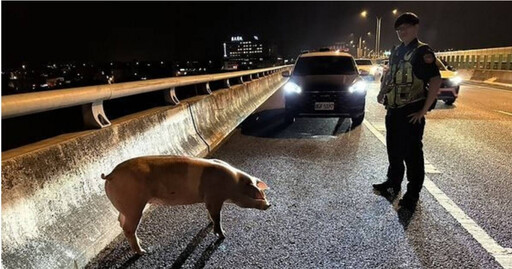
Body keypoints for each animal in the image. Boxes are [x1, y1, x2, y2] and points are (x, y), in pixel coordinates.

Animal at [99, 155, 268, 253]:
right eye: (257, 196)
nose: (269, 204)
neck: (234, 183)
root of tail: (110, 175)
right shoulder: (214, 197)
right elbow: (217, 217)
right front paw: (223, 235)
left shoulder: (208, 199)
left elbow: (210, 214)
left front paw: (209, 224)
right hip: (133, 204)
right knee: (128, 228)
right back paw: (143, 252)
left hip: (126, 207)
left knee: (121, 221)